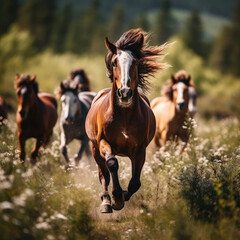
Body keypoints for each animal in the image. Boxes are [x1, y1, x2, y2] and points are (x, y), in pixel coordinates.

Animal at [85, 28, 168, 214]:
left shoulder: (140, 149)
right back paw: (106, 201)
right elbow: (112, 164)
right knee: (103, 174)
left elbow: (135, 182)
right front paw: (116, 199)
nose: (124, 93)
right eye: (115, 62)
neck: (123, 117)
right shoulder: (103, 142)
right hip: (94, 149)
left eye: (135, 62)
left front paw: (122, 195)